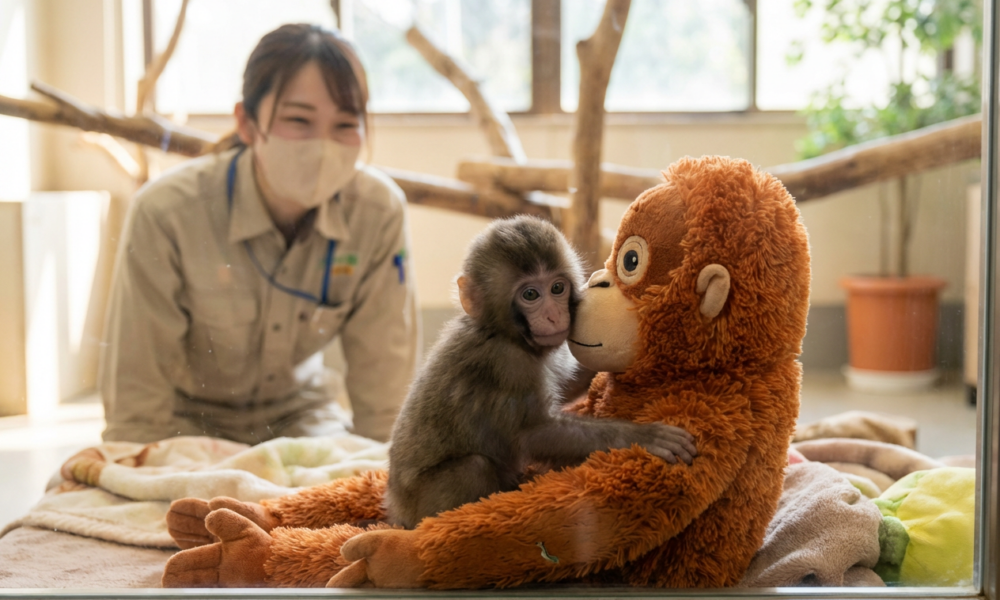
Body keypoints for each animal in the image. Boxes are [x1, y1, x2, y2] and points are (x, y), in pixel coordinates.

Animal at [384, 215, 697, 529]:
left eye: (557, 288)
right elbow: (533, 434)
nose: (554, 316)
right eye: (531, 294)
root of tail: (395, 509)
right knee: (474, 467)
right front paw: (642, 436)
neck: (501, 333)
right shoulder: (508, 364)